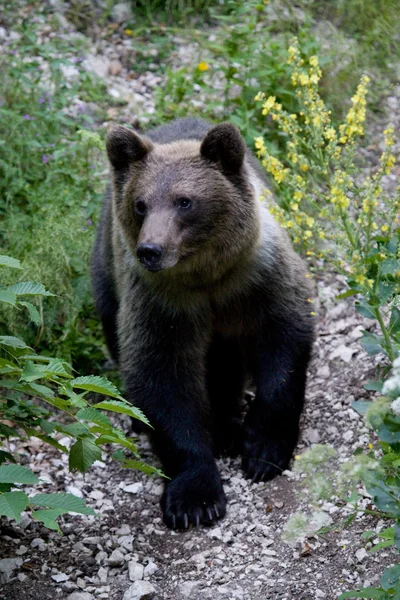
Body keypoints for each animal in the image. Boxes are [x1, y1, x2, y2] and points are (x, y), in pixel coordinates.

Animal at [92, 117, 314, 528]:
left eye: (185, 201)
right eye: (141, 204)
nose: (151, 250)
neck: (205, 277)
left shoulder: (257, 278)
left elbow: (283, 341)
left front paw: (263, 451)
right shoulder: (163, 302)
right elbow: (162, 376)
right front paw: (194, 499)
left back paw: (229, 426)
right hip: (107, 271)